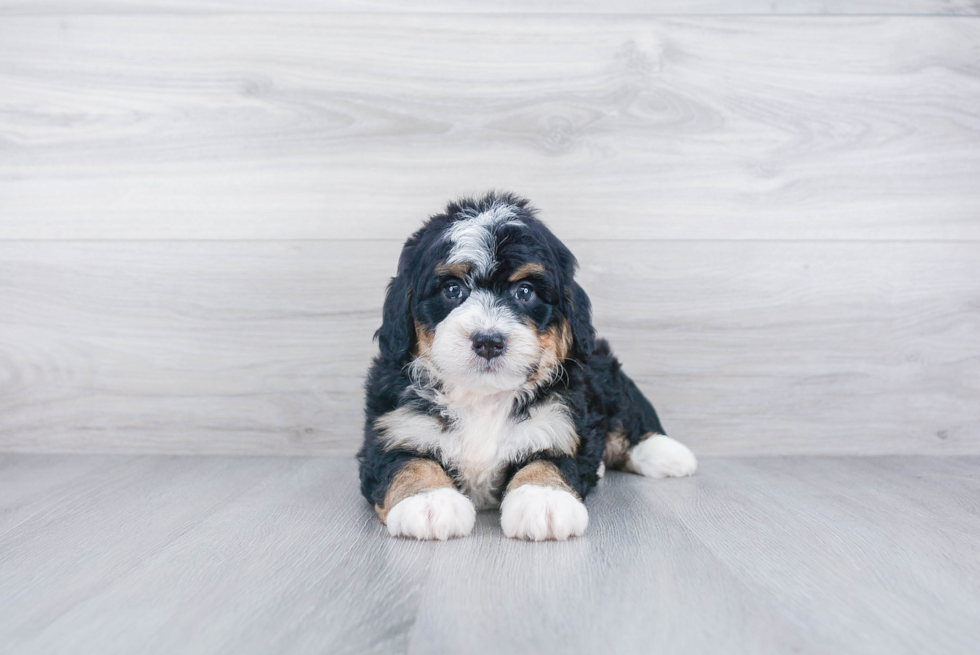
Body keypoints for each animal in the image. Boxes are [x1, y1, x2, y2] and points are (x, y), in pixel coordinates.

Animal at [358, 193, 696, 544]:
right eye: (452, 290)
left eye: (524, 292)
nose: (488, 341)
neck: (483, 397)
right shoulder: (392, 428)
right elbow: (408, 462)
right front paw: (429, 501)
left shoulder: (561, 424)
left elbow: (548, 460)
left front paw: (543, 499)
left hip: (604, 368)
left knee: (627, 414)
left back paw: (666, 452)